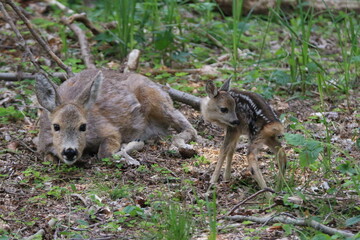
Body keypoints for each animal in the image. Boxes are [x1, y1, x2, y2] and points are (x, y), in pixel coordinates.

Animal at [36, 69, 197, 165]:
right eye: (56, 126)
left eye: (83, 126)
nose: (70, 151)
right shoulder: (42, 144)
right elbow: (47, 158)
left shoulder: (110, 130)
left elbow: (105, 153)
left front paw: (130, 151)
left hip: (156, 99)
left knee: (190, 129)